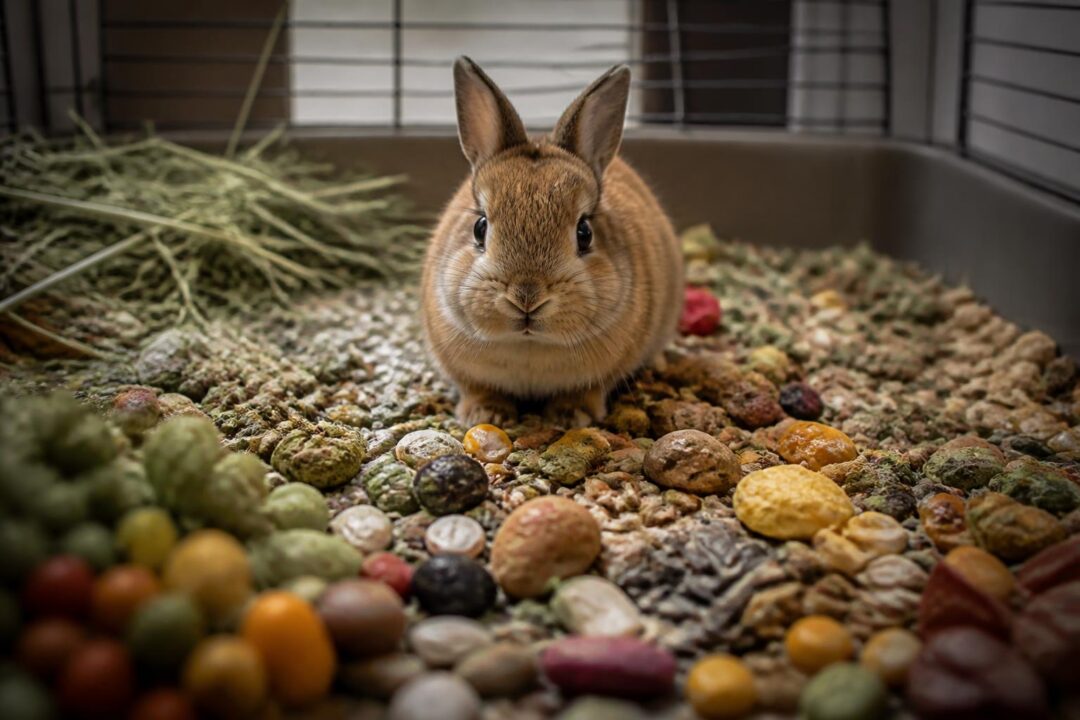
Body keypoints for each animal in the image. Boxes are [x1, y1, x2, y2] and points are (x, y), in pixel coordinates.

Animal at [421, 57, 684, 428]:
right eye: (479, 227)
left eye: (584, 232)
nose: (527, 298)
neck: (529, 346)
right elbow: (476, 388)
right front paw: (486, 414)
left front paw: (570, 416)